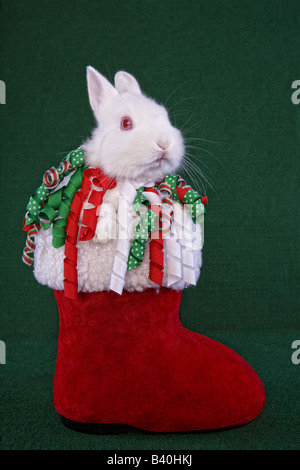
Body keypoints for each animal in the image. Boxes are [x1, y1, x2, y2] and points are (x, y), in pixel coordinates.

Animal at [32, 67, 202, 292]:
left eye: (165, 117)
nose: (164, 143)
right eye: (125, 123)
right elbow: (103, 207)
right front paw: (103, 234)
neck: (132, 180)